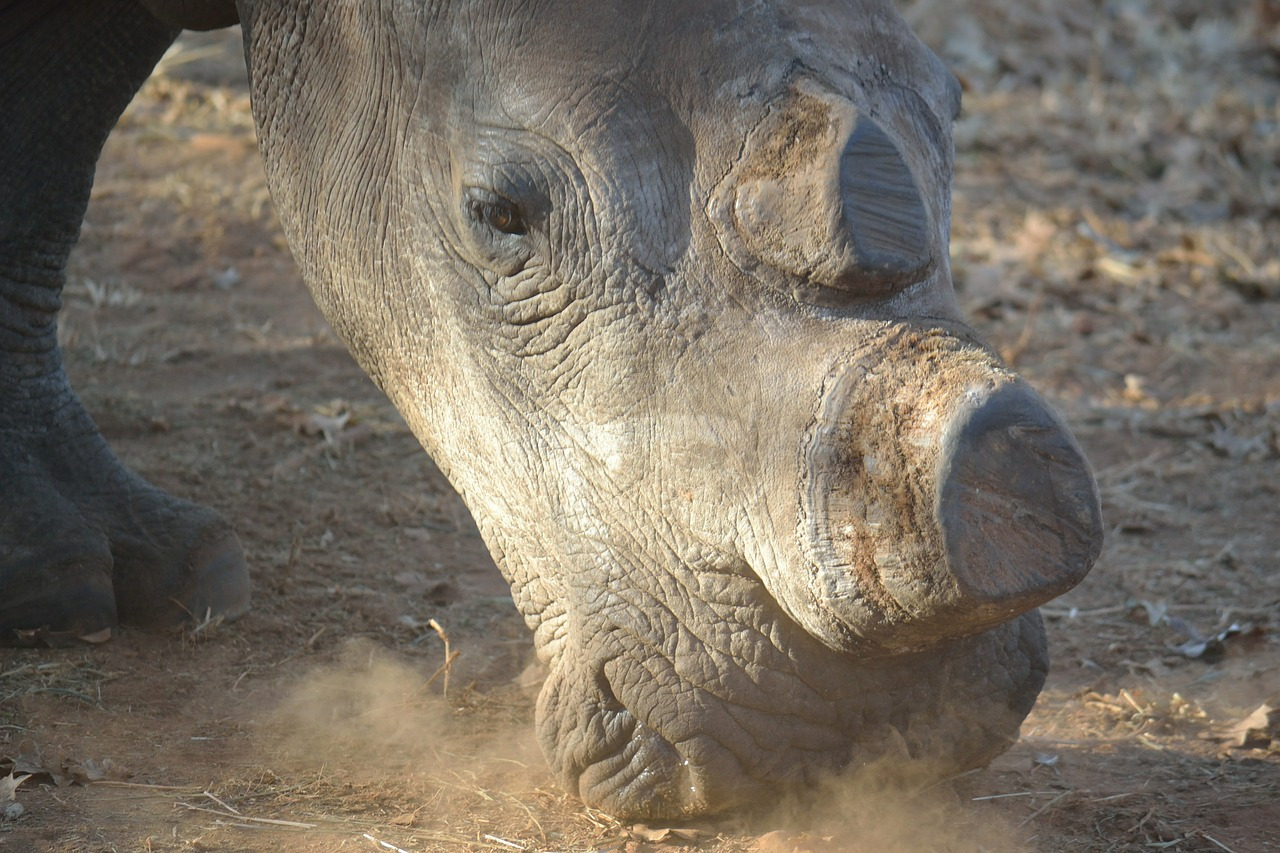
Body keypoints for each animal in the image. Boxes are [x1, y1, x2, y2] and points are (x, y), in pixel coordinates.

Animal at [0, 0, 1102, 819]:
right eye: (498, 214)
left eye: (952, 104)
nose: (847, 737)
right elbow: (40, 155)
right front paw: (57, 590)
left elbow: (56, 133)